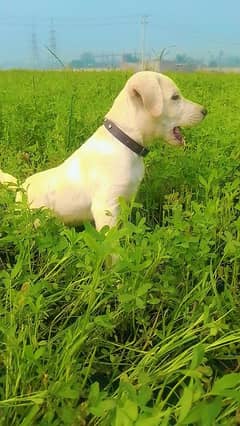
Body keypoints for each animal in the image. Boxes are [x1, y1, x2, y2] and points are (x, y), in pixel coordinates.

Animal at [0, 71, 206, 230]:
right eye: (175, 97)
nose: (205, 111)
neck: (125, 142)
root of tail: (20, 184)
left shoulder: (125, 202)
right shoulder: (106, 208)